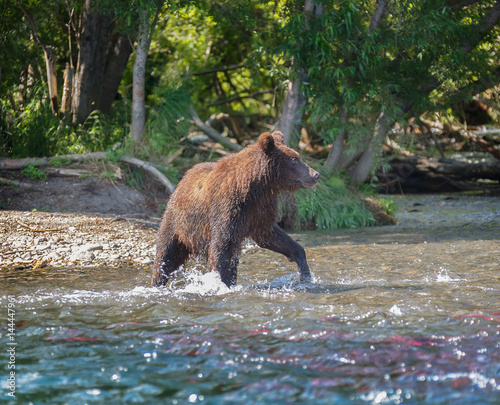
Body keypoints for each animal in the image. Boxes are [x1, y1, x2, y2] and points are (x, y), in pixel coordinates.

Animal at [152, 130, 320, 288]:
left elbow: (271, 236)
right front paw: (220, 283)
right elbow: (221, 248)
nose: (316, 174)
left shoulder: (259, 211)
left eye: (297, 156)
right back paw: (157, 282)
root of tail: (183, 179)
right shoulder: (228, 208)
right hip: (178, 222)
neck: (256, 188)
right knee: (165, 255)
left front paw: (305, 272)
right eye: (294, 160)